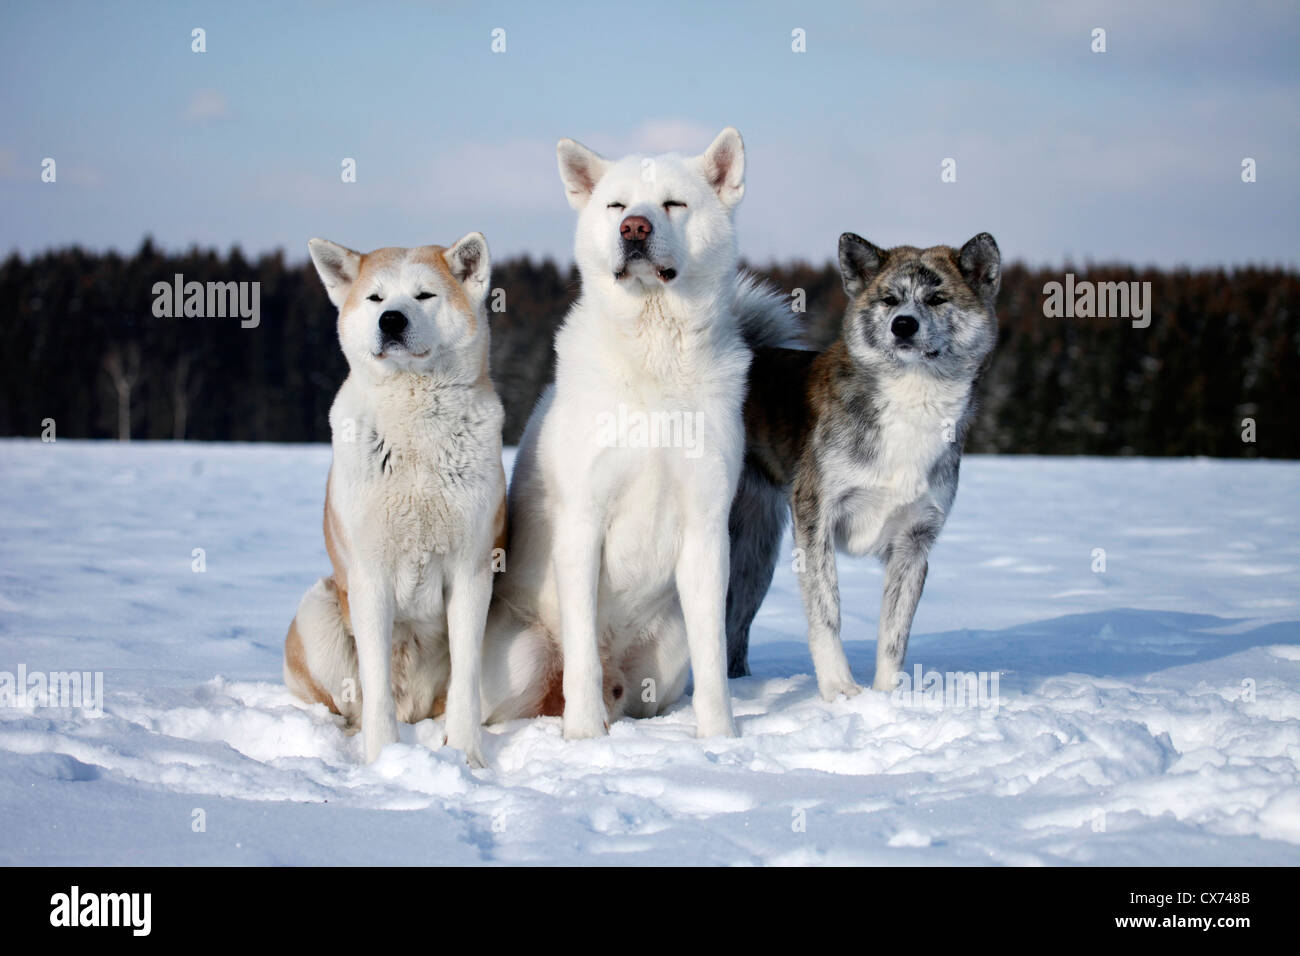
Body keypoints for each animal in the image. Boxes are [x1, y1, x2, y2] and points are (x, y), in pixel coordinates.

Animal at [286, 235, 506, 764]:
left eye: (424, 295)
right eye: (375, 298)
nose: (391, 320)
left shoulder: (471, 572)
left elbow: (466, 682)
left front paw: (467, 756)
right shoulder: (369, 576)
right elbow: (375, 681)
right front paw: (383, 759)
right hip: (318, 611)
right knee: (347, 701)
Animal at [480, 127, 790, 738]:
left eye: (673, 204)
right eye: (616, 206)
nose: (635, 229)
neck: (655, 361)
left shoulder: (706, 529)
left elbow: (715, 658)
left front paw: (721, 738)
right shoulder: (581, 523)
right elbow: (580, 651)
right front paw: (584, 739)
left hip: (666, 656)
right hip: (522, 658)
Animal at [728, 231, 998, 697]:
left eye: (938, 298)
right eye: (889, 299)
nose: (903, 325)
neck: (912, 397)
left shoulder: (915, 540)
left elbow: (894, 634)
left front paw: (888, 699)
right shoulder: (816, 517)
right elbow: (827, 612)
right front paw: (840, 690)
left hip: (753, 557)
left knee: (733, 627)